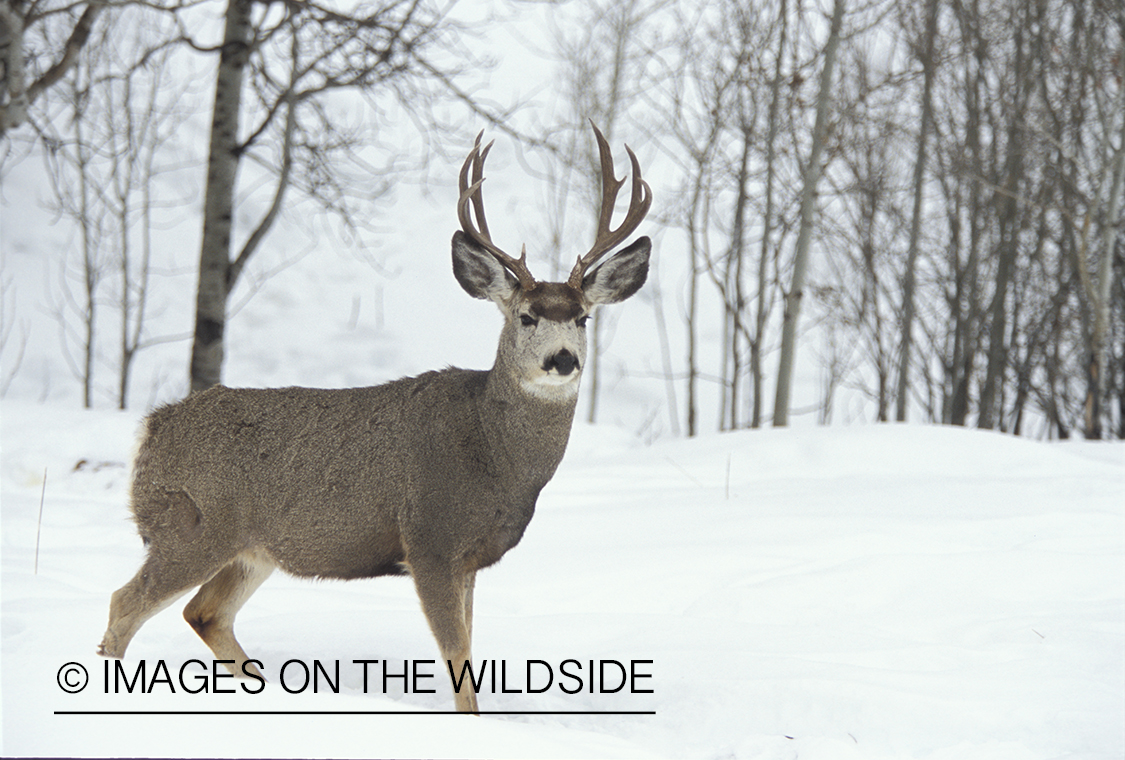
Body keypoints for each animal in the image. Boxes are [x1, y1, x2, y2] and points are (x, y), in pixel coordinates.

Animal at [101, 124, 657, 710]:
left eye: (583, 318)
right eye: (526, 316)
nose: (563, 359)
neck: (493, 454)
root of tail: (152, 427)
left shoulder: (468, 558)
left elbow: (471, 650)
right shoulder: (429, 538)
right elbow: (458, 657)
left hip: (250, 549)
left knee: (204, 613)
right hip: (191, 523)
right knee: (124, 604)